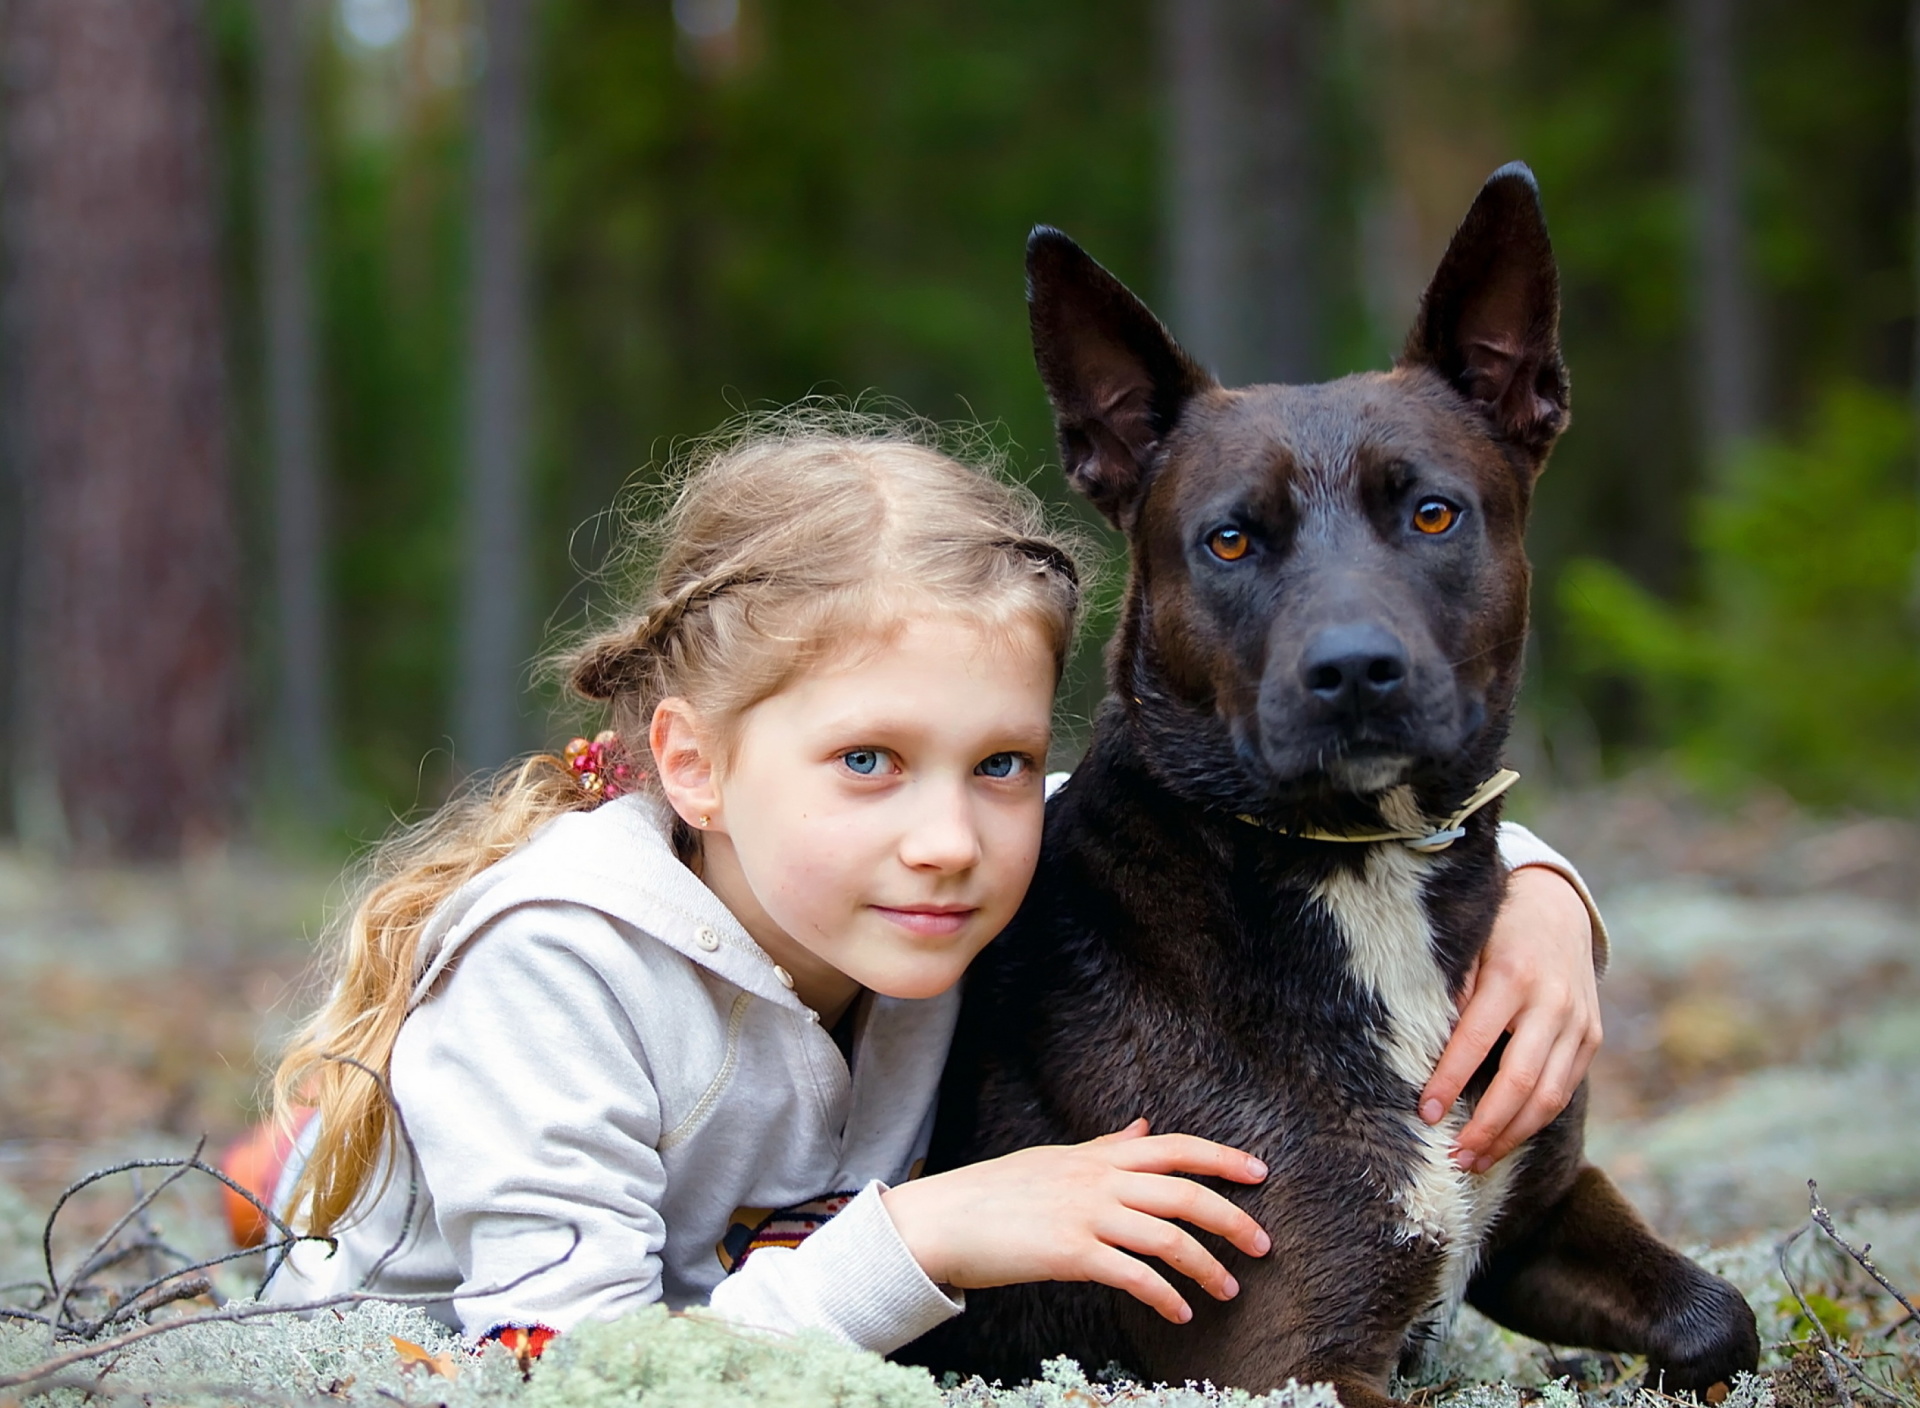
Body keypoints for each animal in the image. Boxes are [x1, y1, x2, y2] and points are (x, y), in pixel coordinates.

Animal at [906, 167, 1758, 1406]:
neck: (1359, 866)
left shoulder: (1537, 1211)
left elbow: (1721, 1316)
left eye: (1433, 512)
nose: (1354, 670)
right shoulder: (1288, 1355)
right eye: (1229, 541)